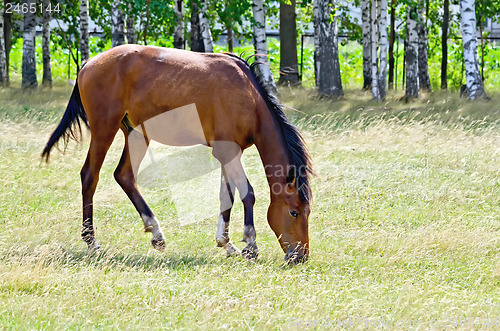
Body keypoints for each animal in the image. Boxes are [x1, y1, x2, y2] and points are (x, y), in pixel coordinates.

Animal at [42, 44, 312, 264]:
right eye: (294, 212)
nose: (300, 256)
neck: (249, 98)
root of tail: (90, 63)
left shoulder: (227, 153)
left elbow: (227, 197)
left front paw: (226, 244)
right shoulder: (228, 152)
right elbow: (248, 194)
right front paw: (250, 245)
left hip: (136, 134)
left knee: (125, 176)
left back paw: (156, 233)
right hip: (104, 130)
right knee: (90, 176)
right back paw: (92, 242)